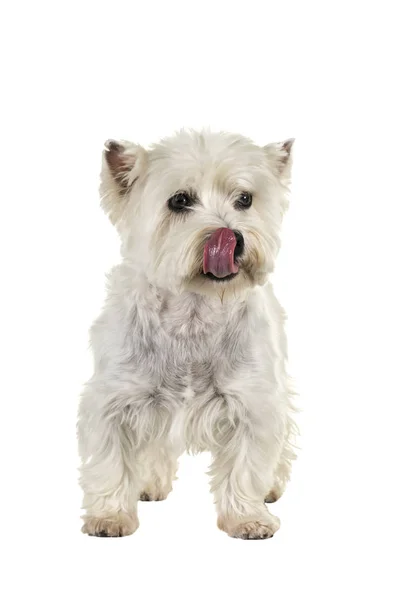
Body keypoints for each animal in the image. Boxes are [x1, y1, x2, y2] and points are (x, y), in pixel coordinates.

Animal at [77, 130, 296, 540]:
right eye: (180, 200)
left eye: (245, 199)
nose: (231, 237)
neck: (194, 311)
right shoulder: (116, 398)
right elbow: (111, 461)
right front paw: (110, 517)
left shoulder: (252, 400)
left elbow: (246, 464)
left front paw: (248, 518)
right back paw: (148, 484)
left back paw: (271, 488)